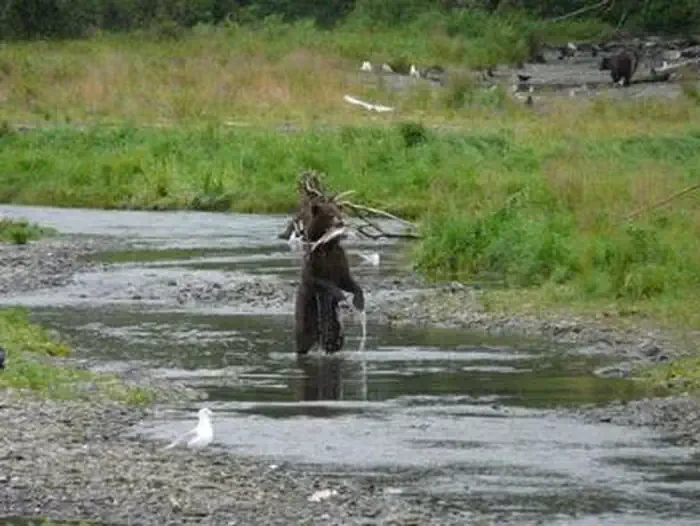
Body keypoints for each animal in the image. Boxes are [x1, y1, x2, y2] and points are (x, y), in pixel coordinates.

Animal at [294, 200, 364, 355]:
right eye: (330, 214)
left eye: (339, 214)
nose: (340, 222)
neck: (327, 246)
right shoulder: (314, 262)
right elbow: (320, 281)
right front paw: (342, 297)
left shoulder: (338, 259)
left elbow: (347, 281)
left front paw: (358, 302)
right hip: (306, 313)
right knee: (303, 339)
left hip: (334, 324)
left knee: (335, 341)